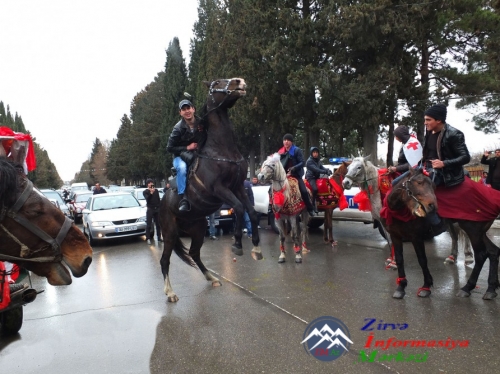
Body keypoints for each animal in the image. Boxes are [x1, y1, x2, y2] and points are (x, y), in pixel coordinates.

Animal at [159, 77, 262, 302]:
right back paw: (170, 292)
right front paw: (237, 244)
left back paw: (211, 277)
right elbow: (239, 208)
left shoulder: (238, 186)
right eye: (217, 82)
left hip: (198, 228)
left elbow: (250, 211)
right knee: (165, 260)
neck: (222, 150)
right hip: (170, 233)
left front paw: (257, 248)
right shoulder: (220, 189)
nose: (239, 81)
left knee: (195, 253)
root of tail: (161, 202)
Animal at [342, 156, 474, 268]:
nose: (345, 183)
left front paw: (394, 261)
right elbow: (390, 240)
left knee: (464, 232)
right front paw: (391, 258)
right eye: (348, 168)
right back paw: (452, 257)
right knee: (454, 234)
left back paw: (468, 257)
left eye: (359, 167)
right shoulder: (383, 222)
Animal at [384, 169, 498, 300]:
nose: (432, 206)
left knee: (481, 255)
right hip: (480, 232)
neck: (398, 212)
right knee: (493, 251)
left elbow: (422, 260)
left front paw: (426, 287)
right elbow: (399, 259)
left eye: (433, 186)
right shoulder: (395, 236)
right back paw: (491, 289)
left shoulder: (416, 237)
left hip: (473, 231)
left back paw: (467, 287)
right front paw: (401, 287)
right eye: (419, 182)